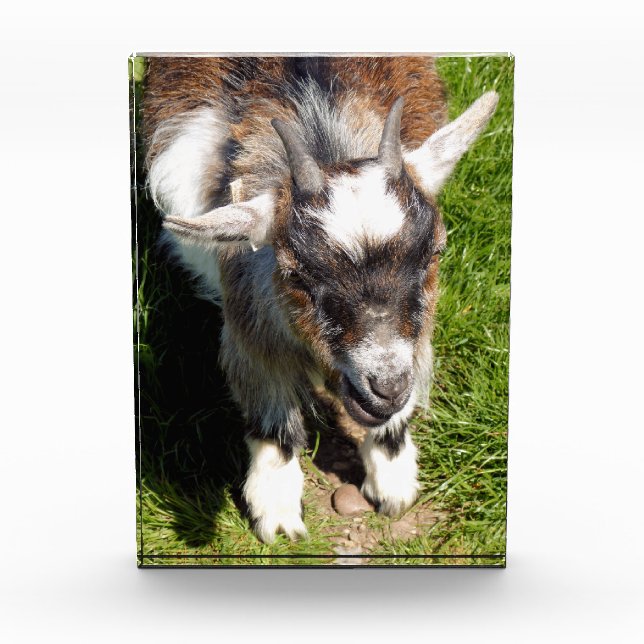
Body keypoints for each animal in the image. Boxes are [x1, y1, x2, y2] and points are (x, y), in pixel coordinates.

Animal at [142, 56, 498, 543]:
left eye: (435, 252)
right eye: (296, 273)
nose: (387, 388)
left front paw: (393, 482)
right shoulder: (251, 315)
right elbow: (272, 415)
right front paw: (276, 513)